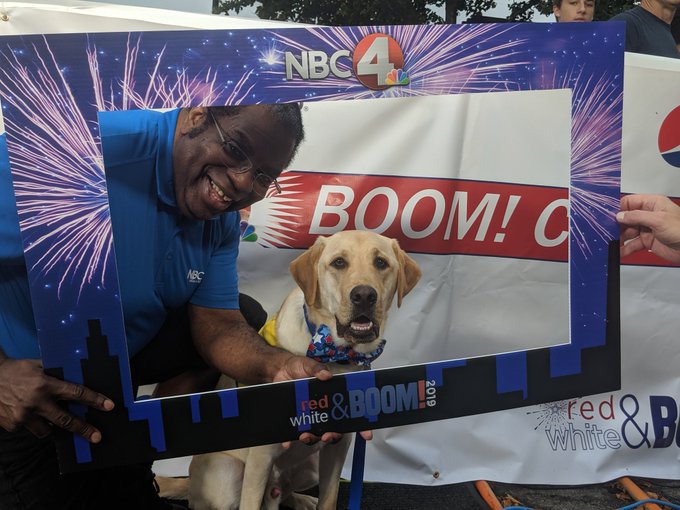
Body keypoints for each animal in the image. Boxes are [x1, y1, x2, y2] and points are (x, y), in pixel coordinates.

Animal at [160, 230, 421, 510]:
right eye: (339, 262)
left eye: (381, 262)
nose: (363, 295)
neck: (334, 355)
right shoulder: (261, 455)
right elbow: (250, 502)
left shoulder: (338, 446)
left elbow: (328, 499)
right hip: (227, 472)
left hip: (311, 467)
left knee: (282, 493)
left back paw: (300, 499)